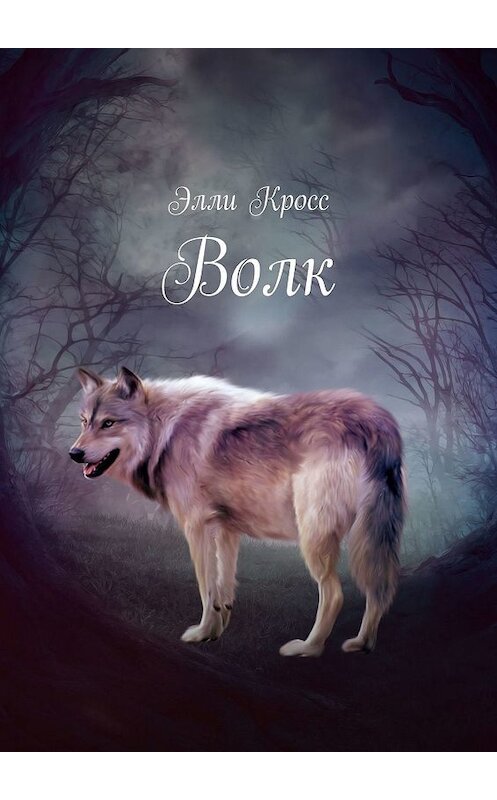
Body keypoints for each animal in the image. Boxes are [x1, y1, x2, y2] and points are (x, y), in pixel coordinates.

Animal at [69, 366, 406, 657]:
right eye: (85, 421)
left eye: (108, 423)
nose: (74, 453)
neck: (164, 431)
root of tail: (376, 419)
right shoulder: (226, 529)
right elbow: (223, 589)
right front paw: (216, 632)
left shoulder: (196, 527)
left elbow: (206, 588)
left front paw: (200, 633)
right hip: (371, 536)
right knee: (380, 589)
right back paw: (363, 643)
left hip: (314, 537)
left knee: (335, 594)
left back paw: (307, 648)